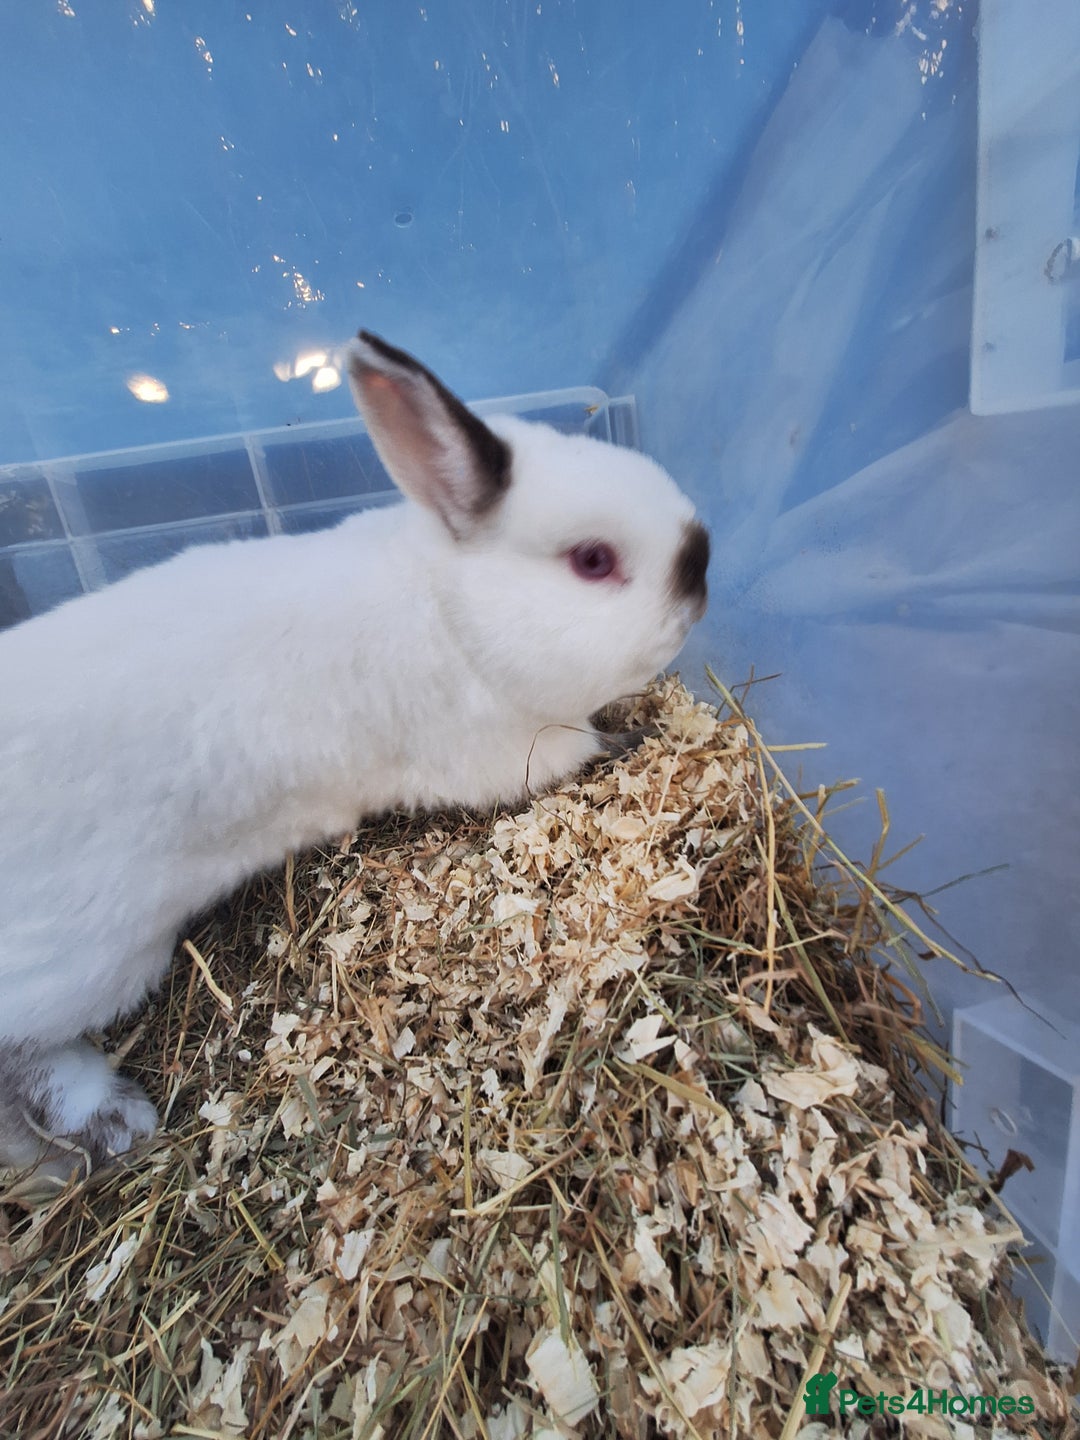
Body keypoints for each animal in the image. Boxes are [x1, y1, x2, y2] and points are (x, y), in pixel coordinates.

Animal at [0, 330, 709, 1180]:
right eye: (594, 561)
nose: (704, 568)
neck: (453, 612)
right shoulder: (517, 751)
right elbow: (590, 744)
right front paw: (641, 733)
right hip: (86, 967)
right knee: (21, 1062)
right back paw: (114, 1119)